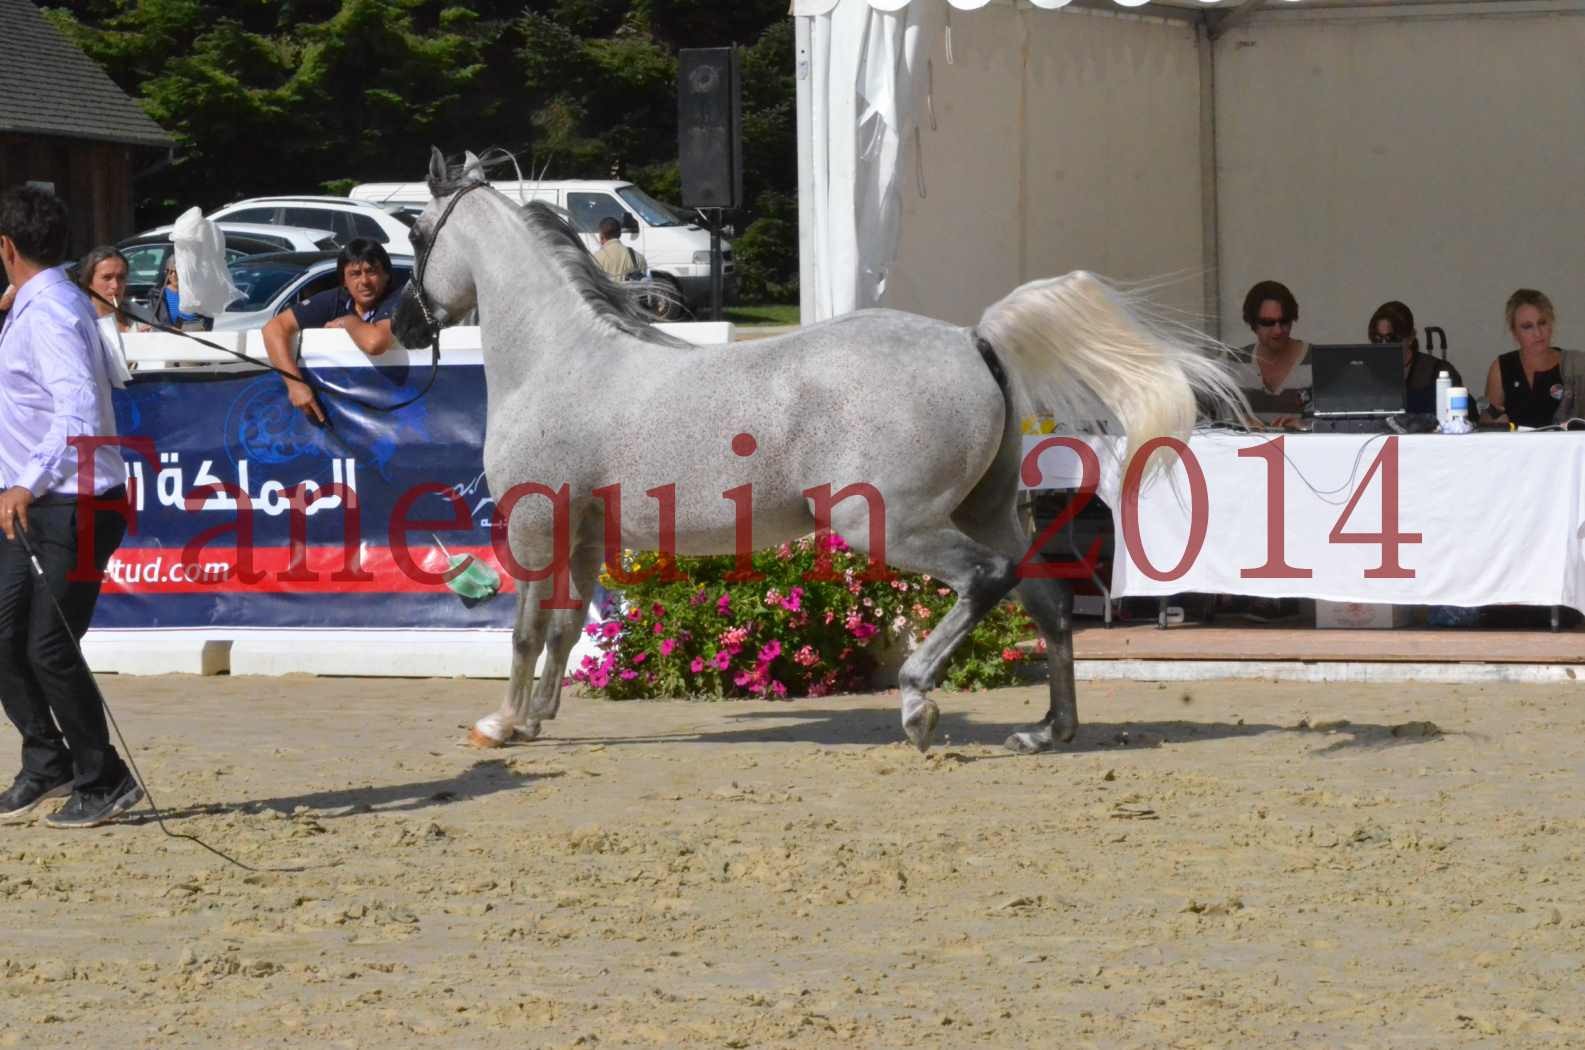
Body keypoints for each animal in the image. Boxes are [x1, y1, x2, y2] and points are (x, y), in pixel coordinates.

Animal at [393, 149, 1236, 758]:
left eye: (415, 234)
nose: (401, 324)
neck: (560, 360)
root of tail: (973, 339)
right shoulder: (584, 532)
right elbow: (564, 628)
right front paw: (538, 717)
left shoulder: (536, 523)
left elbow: (526, 628)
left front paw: (500, 725)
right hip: (990, 510)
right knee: (1048, 604)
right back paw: (1046, 730)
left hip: (889, 525)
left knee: (985, 581)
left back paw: (918, 704)